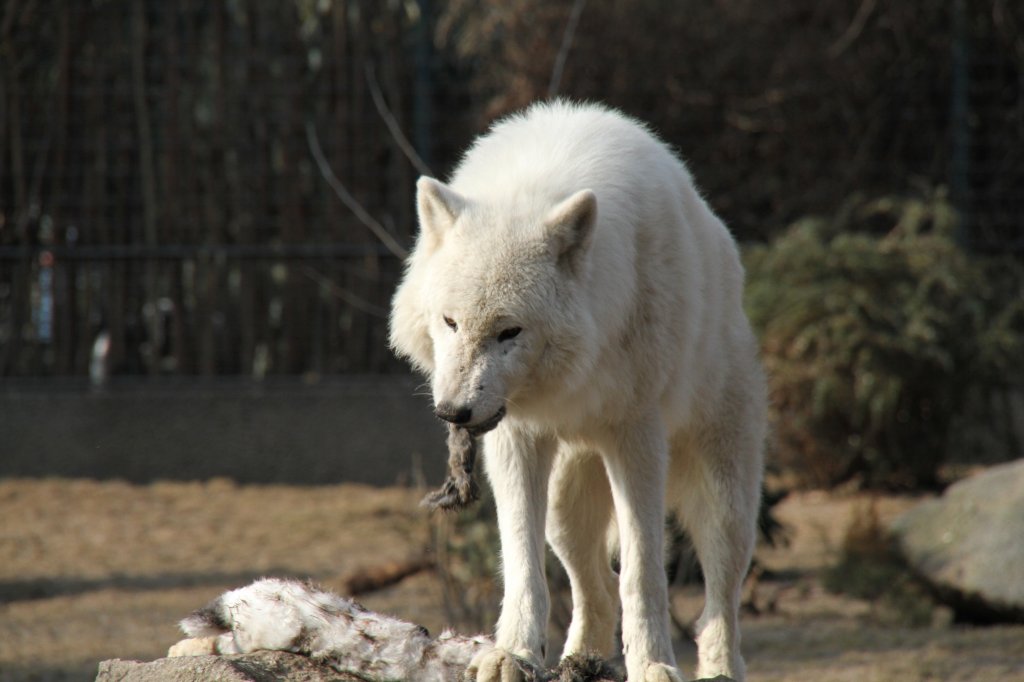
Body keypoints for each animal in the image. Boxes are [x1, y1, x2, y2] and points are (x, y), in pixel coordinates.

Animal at [391, 100, 770, 679]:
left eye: (510, 332)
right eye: (450, 323)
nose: (454, 412)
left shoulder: (637, 437)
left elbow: (643, 572)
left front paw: (653, 665)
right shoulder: (516, 440)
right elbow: (522, 564)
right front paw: (513, 653)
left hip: (725, 503)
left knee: (718, 605)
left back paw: (717, 669)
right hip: (565, 513)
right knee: (596, 589)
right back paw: (581, 660)